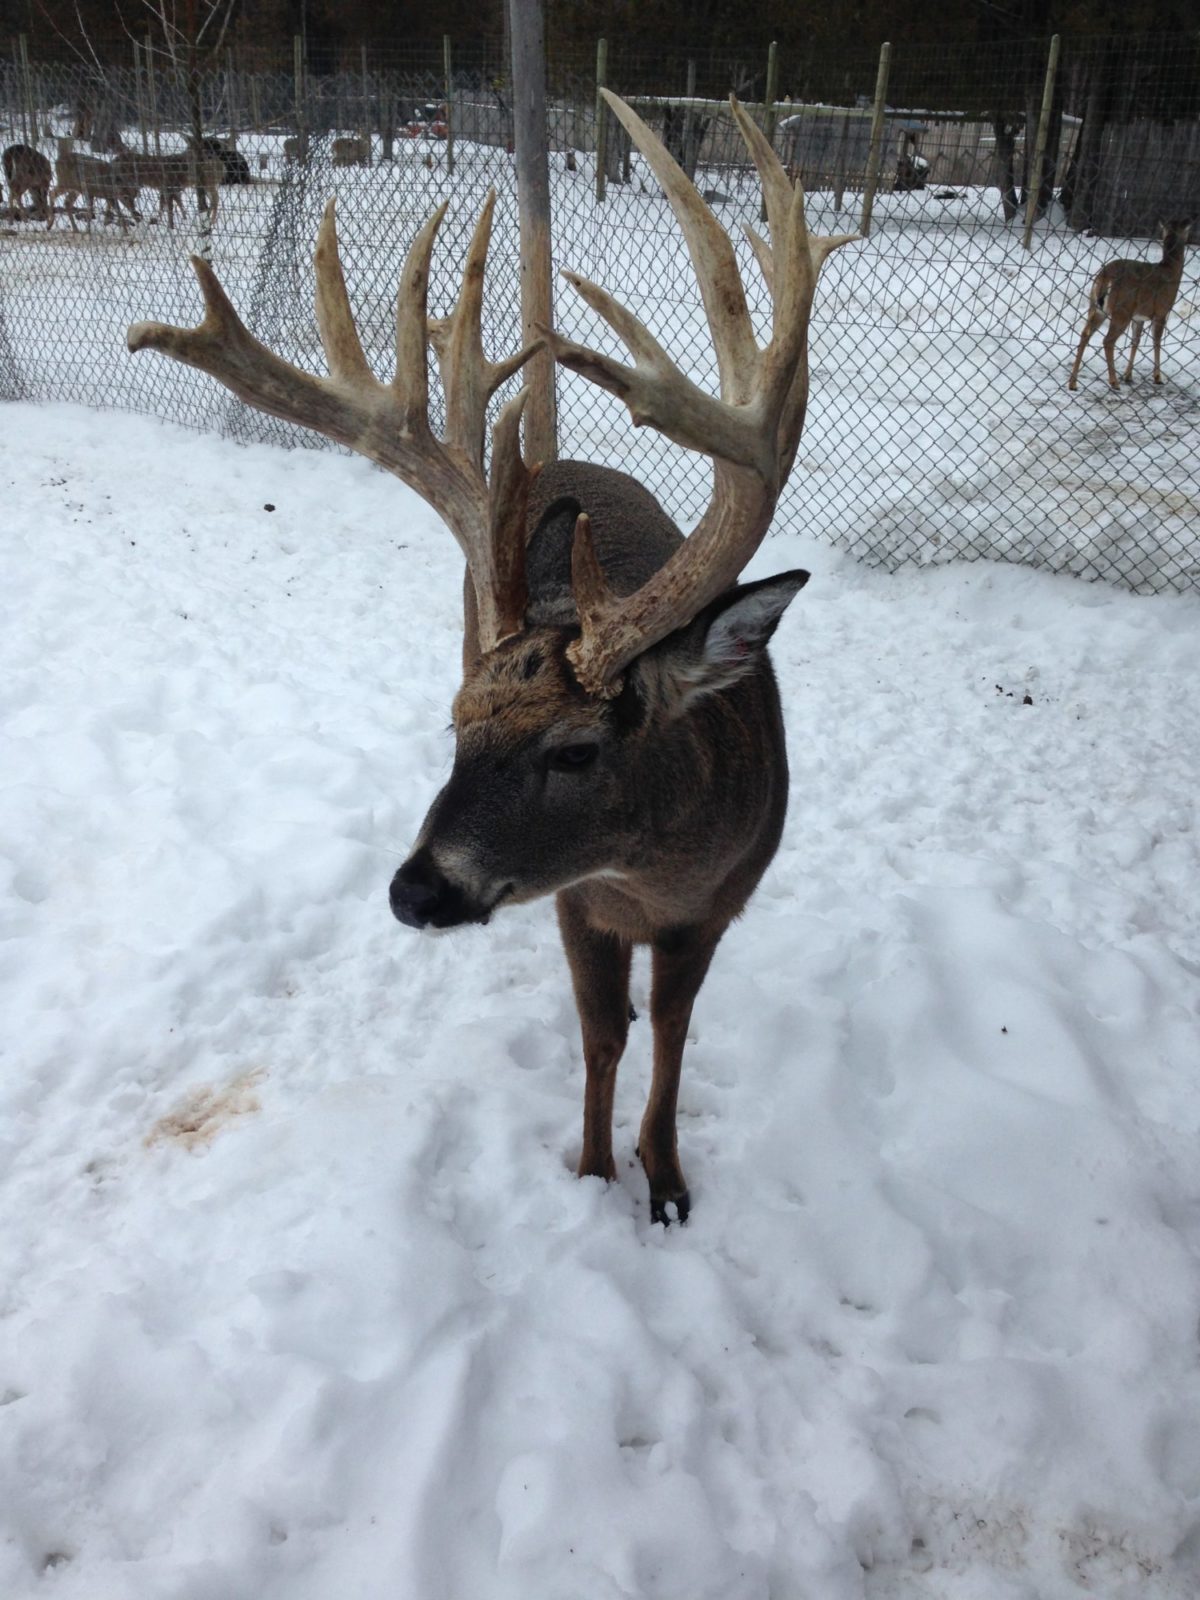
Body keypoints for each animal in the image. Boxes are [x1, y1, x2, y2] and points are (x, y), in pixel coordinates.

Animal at [127, 92, 857, 1224]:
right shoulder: (577, 903)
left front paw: (667, 1183)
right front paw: (594, 1175)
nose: (415, 890)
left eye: (577, 749)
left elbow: (671, 1032)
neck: (648, 873)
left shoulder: (718, 903)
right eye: (454, 725)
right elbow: (604, 1035)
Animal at [1068, 219, 1193, 391]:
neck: (1170, 270)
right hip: (1122, 309)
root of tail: (1105, 276)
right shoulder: (1161, 311)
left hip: (1096, 307)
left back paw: (1073, 383)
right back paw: (1114, 382)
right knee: (1108, 341)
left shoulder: (1138, 317)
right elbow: (1156, 341)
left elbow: (1135, 341)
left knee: (1085, 333)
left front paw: (1128, 375)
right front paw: (1158, 377)